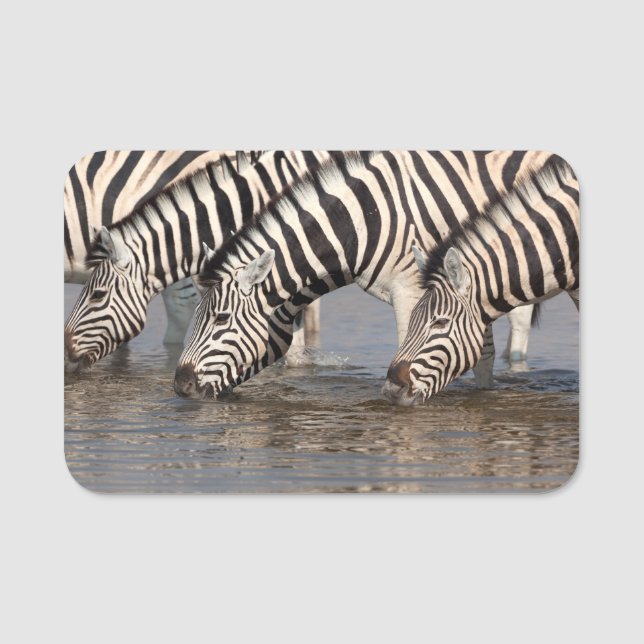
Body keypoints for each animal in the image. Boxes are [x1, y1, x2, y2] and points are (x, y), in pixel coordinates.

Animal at [173, 149, 556, 400]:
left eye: (221, 319)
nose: (180, 386)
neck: (362, 222)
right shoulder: (464, 291)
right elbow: (481, 356)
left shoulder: (414, 290)